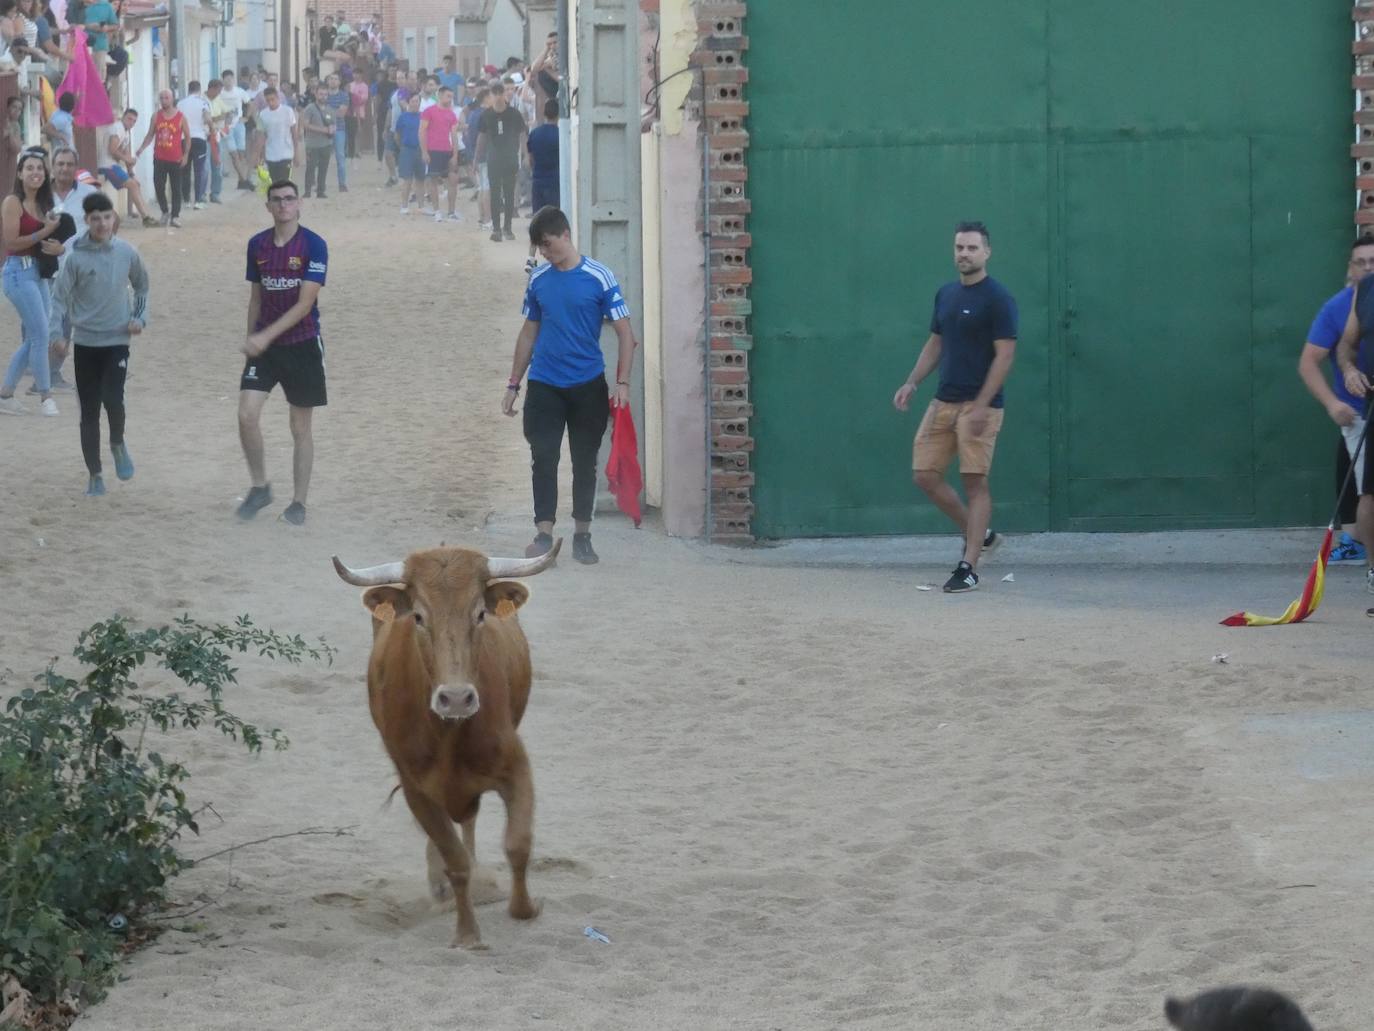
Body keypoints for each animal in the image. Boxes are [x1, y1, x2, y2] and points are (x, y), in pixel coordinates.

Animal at [329, 544, 560, 951]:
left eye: (480, 613)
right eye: (419, 616)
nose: (455, 699)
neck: (449, 735)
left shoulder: (516, 767)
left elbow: (517, 843)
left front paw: (525, 908)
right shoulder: (416, 790)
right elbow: (455, 861)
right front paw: (467, 933)